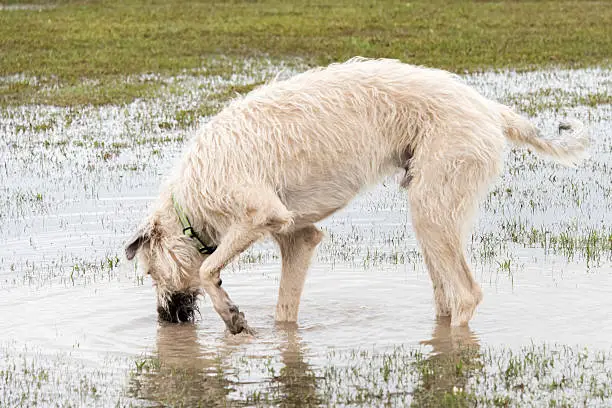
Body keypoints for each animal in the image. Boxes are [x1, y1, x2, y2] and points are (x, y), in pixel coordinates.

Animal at [124, 57, 588, 332]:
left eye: (149, 273)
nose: (165, 321)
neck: (190, 201)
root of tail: (489, 108)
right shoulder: (298, 238)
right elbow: (285, 311)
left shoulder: (259, 214)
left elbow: (207, 270)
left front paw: (231, 315)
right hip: (431, 214)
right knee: (445, 294)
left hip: (434, 205)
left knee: (467, 294)